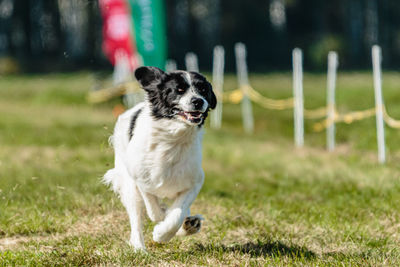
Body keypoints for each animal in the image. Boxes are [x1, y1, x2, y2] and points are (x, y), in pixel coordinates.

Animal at [102, 67, 216, 251]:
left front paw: (165, 232)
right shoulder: (141, 179)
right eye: (179, 90)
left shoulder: (194, 181)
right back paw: (139, 248)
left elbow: (178, 212)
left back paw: (189, 225)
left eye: (203, 90)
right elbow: (154, 210)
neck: (173, 138)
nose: (198, 101)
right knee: (136, 217)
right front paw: (160, 225)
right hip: (129, 184)